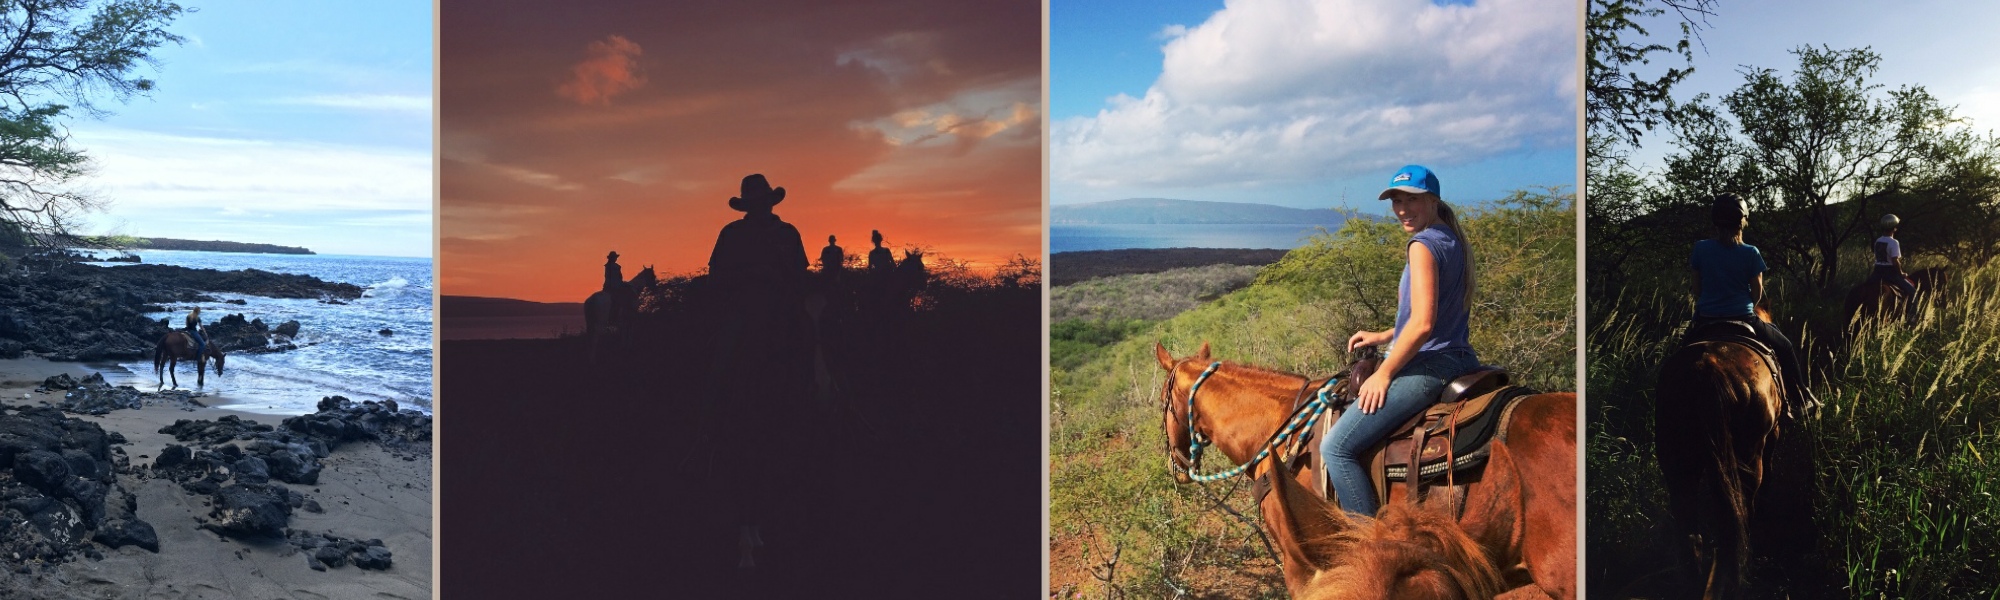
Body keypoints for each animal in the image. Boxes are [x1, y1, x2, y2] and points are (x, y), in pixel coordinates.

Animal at [1656, 308, 1784, 596]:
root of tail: (1708, 370)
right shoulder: (1773, 433)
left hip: (1677, 463)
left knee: (1690, 533)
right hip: (1748, 456)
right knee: (1740, 516)